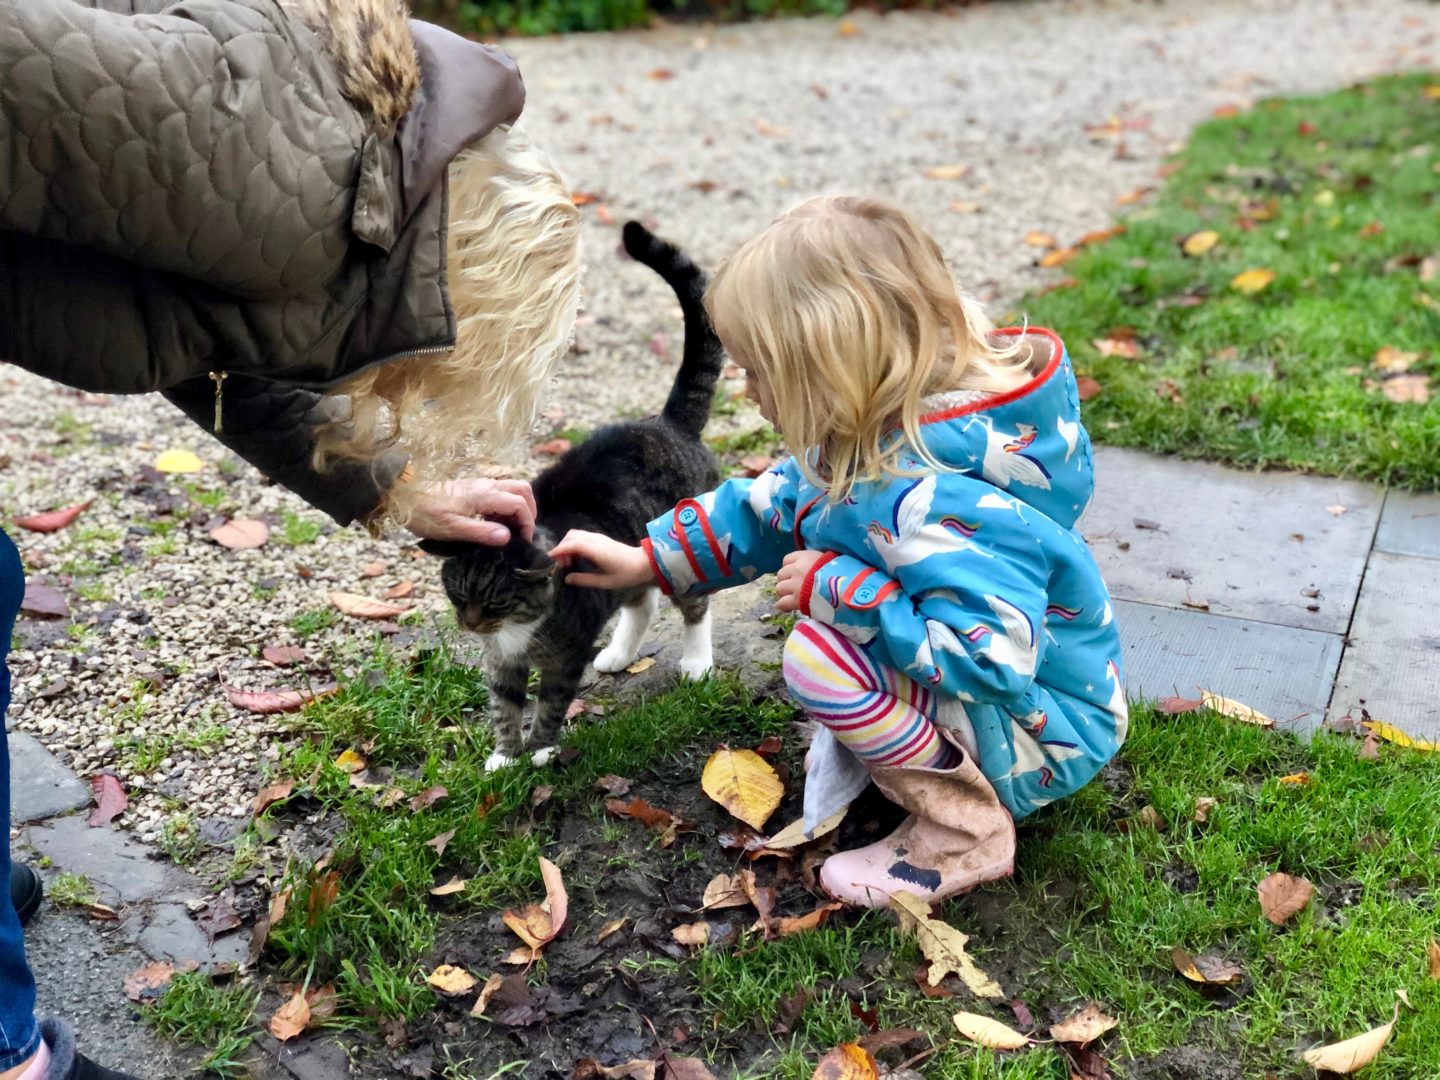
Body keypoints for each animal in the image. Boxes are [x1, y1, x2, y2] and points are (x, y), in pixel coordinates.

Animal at [420, 224, 725, 771]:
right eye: (457, 594)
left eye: (495, 601)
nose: (471, 626)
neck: (517, 631)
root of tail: (668, 424)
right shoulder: (501, 661)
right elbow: (503, 704)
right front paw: (504, 756)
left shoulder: (565, 657)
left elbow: (550, 702)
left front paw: (540, 750)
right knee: (642, 601)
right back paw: (621, 653)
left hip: (684, 545)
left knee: (693, 604)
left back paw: (696, 660)